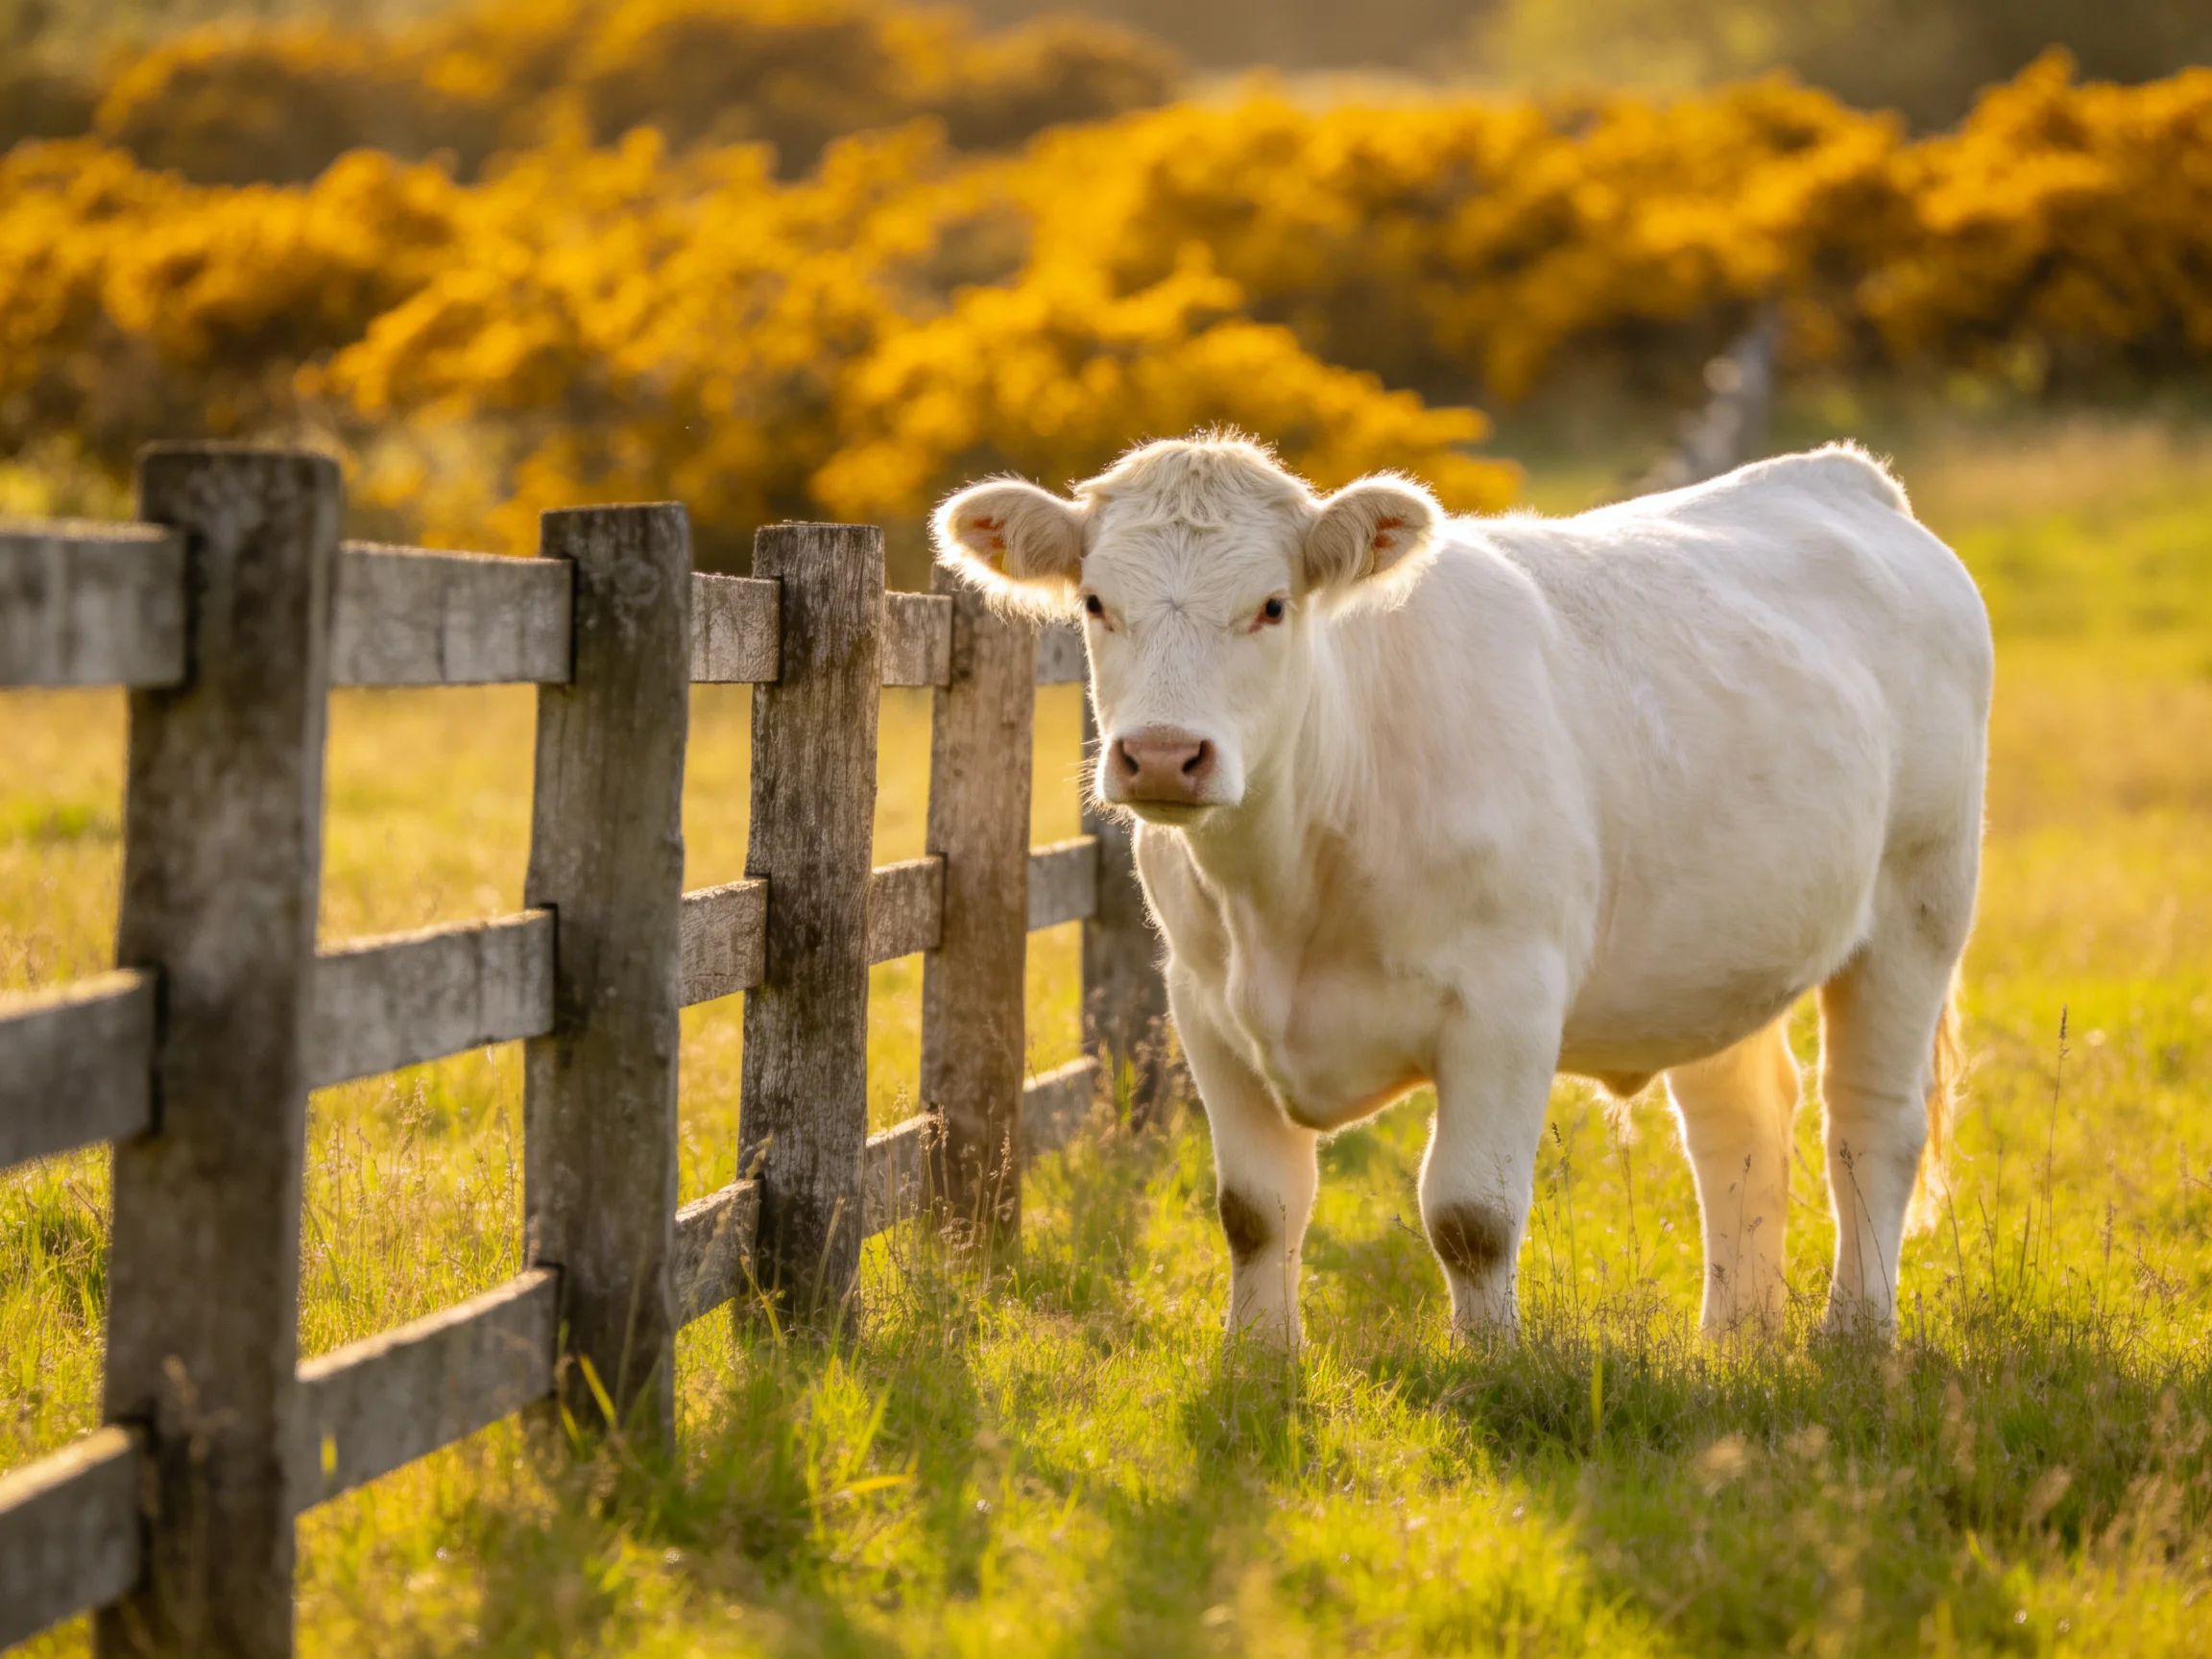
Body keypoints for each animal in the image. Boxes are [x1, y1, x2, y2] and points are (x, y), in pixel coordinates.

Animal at [933, 432, 1992, 1347]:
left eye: (1273, 605)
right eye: (1095, 602)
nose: (1160, 755)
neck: (1287, 889)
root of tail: (1840, 473)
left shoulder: (1507, 1004)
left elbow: (1470, 1216)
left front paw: (1491, 1363)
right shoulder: (1204, 1006)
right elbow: (1255, 1210)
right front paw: (1259, 1361)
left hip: (1918, 909)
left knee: (1870, 1124)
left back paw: (1853, 1334)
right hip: (1718, 949)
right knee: (1741, 1124)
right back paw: (1734, 1339)